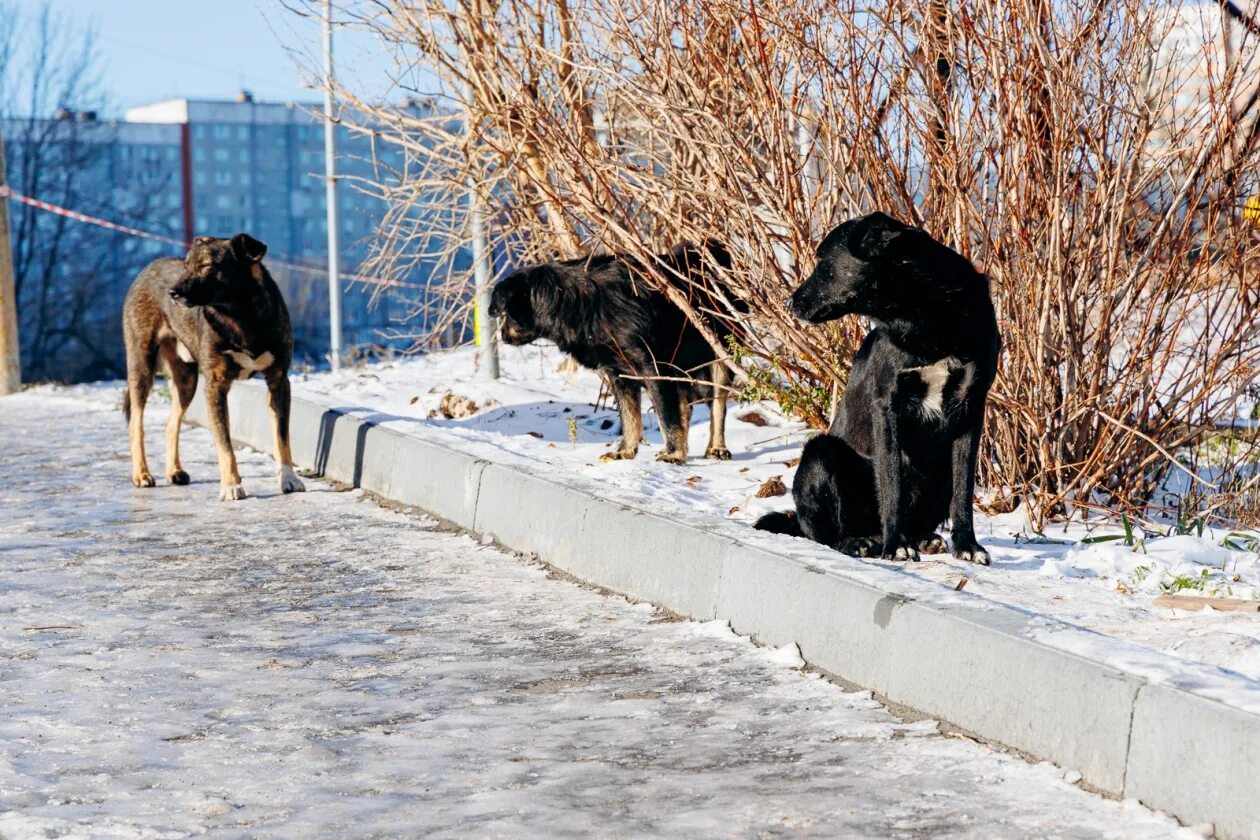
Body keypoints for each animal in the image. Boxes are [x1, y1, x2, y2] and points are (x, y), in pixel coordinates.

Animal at [486, 241, 740, 465]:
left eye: (505, 314)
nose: (503, 335)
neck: (572, 301)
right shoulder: (619, 375)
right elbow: (630, 416)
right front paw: (626, 451)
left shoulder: (653, 370)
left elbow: (667, 416)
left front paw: (674, 455)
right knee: (684, 407)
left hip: (718, 357)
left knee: (717, 405)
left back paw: (716, 448)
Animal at [750, 211, 997, 564]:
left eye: (824, 263)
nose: (788, 304)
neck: (925, 313)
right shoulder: (887, 407)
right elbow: (892, 484)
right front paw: (898, 546)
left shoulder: (971, 406)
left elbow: (963, 492)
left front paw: (968, 546)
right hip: (821, 453)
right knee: (827, 536)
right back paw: (860, 543)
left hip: (937, 468)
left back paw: (923, 539)